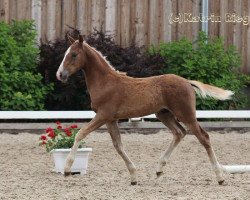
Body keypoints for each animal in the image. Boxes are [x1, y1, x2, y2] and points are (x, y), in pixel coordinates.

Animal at [56, 35, 232, 185]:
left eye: (73, 55)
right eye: (65, 54)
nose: (60, 74)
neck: (105, 82)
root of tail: (187, 82)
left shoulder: (103, 115)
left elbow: (81, 133)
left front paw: (67, 169)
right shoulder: (111, 120)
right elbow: (118, 146)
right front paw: (133, 177)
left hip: (186, 114)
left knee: (204, 137)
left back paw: (220, 177)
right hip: (164, 114)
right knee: (179, 133)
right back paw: (159, 169)